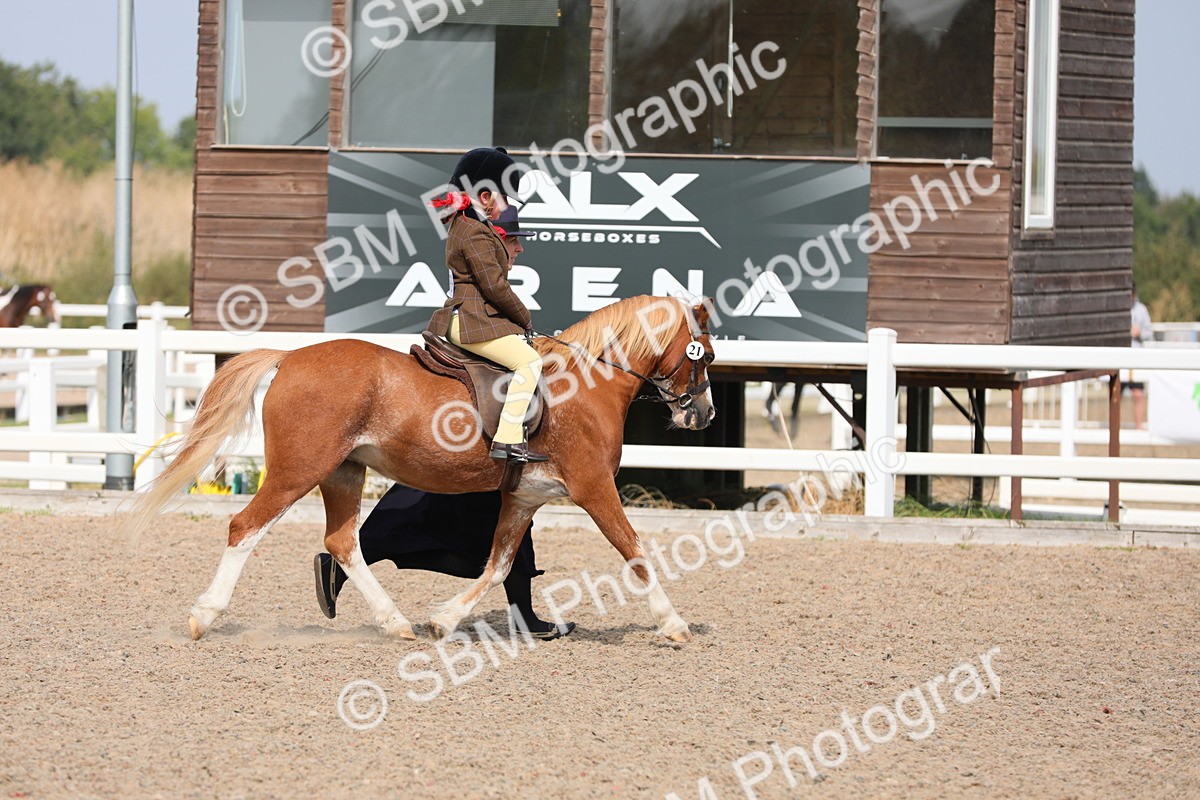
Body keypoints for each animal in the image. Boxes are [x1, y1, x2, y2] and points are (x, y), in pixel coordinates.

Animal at [129, 295, 717, 643]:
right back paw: (204, 616)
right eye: (705, 355)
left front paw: (444, 619)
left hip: (343, 473)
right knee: (245, 528)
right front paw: (674, 625)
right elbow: (635, 553)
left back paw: (395, 623)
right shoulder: (595, 489)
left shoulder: (524, 498)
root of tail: (290, 358)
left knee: (343, 542)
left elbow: (499, 566)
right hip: (298, 472)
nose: (703, 415)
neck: (587, 383)